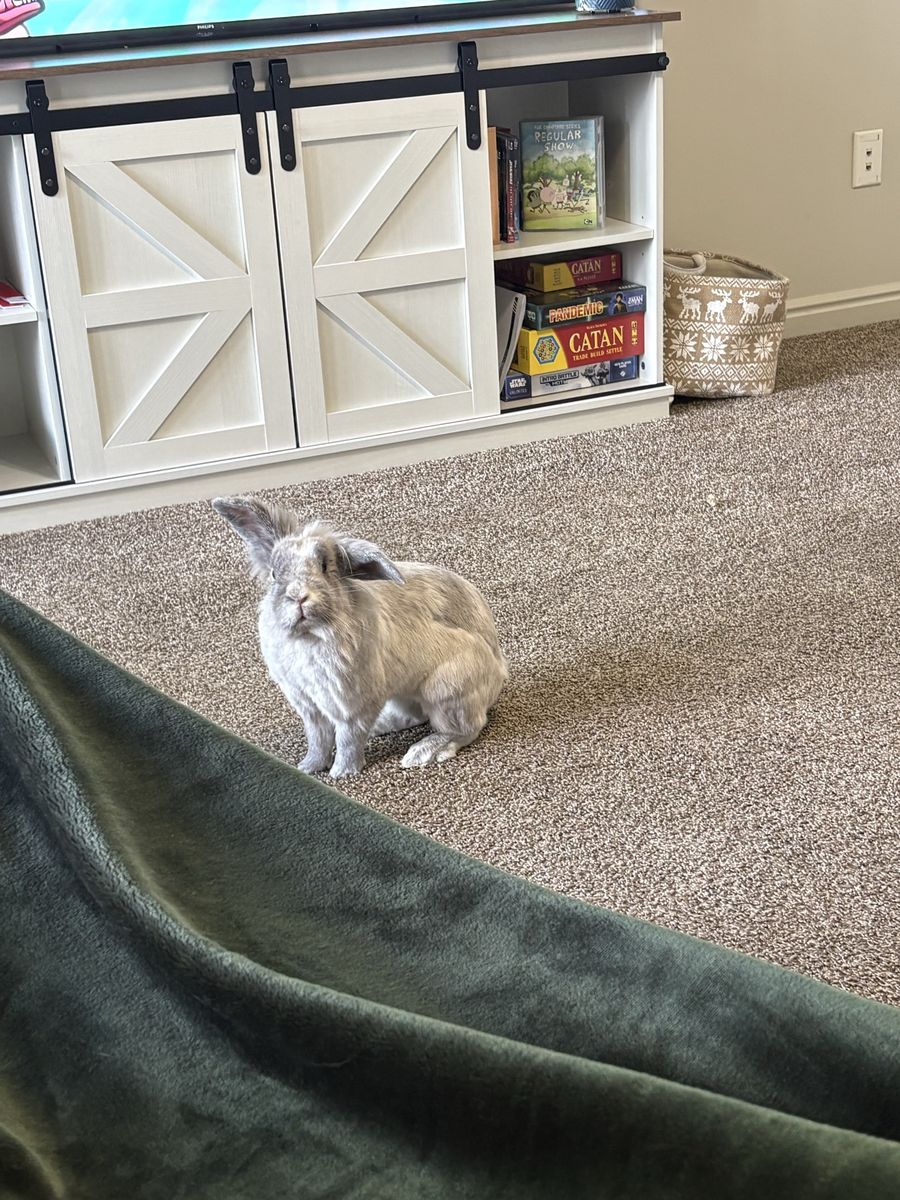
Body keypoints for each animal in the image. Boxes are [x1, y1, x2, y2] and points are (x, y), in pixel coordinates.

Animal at [212, 496, 508, 778]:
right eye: (274, 574)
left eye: (324, 567)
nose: (298, 596)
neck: (310, 636)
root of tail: (498, 670)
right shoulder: (310, 707)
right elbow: (318, 739)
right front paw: (307, 767)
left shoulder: (351, 705)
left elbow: (348, 739)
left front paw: (342, 773)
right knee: (414, 715)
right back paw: (381, 727)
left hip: (447, 690)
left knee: (466, 728)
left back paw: (425, 751)